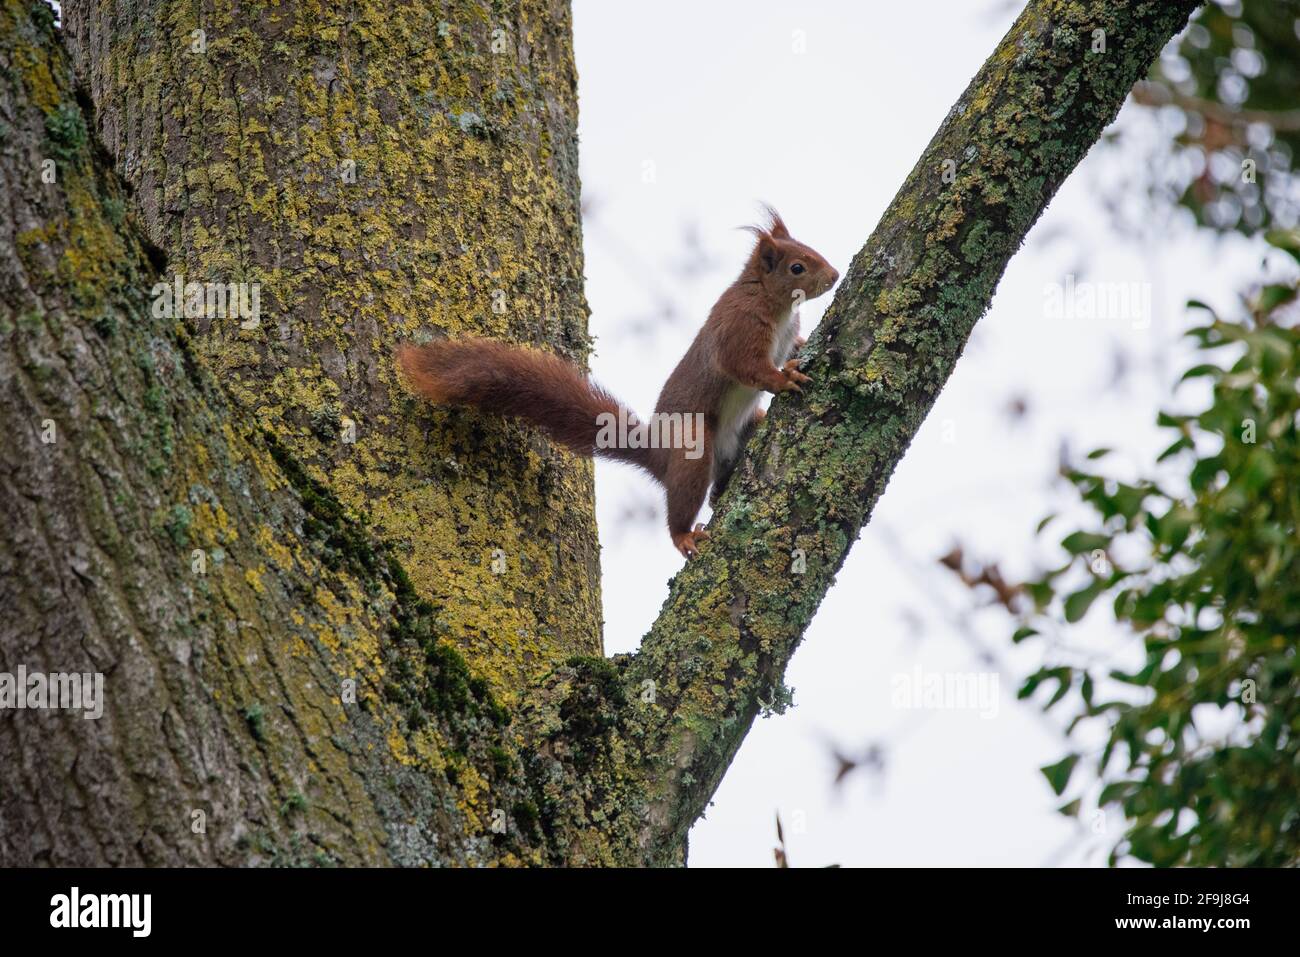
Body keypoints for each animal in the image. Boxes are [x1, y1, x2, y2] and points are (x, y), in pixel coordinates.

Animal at [397, 208, 842, 553]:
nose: (835, 275)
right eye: (797, 267)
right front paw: (783, 377)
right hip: (693, 444)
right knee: (684, 496)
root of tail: (659, 453)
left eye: (810, 250)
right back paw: (684, 535)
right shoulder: (739, 327)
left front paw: (800, 350)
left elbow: (790, 344)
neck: (774, 304)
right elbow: (745, 366)